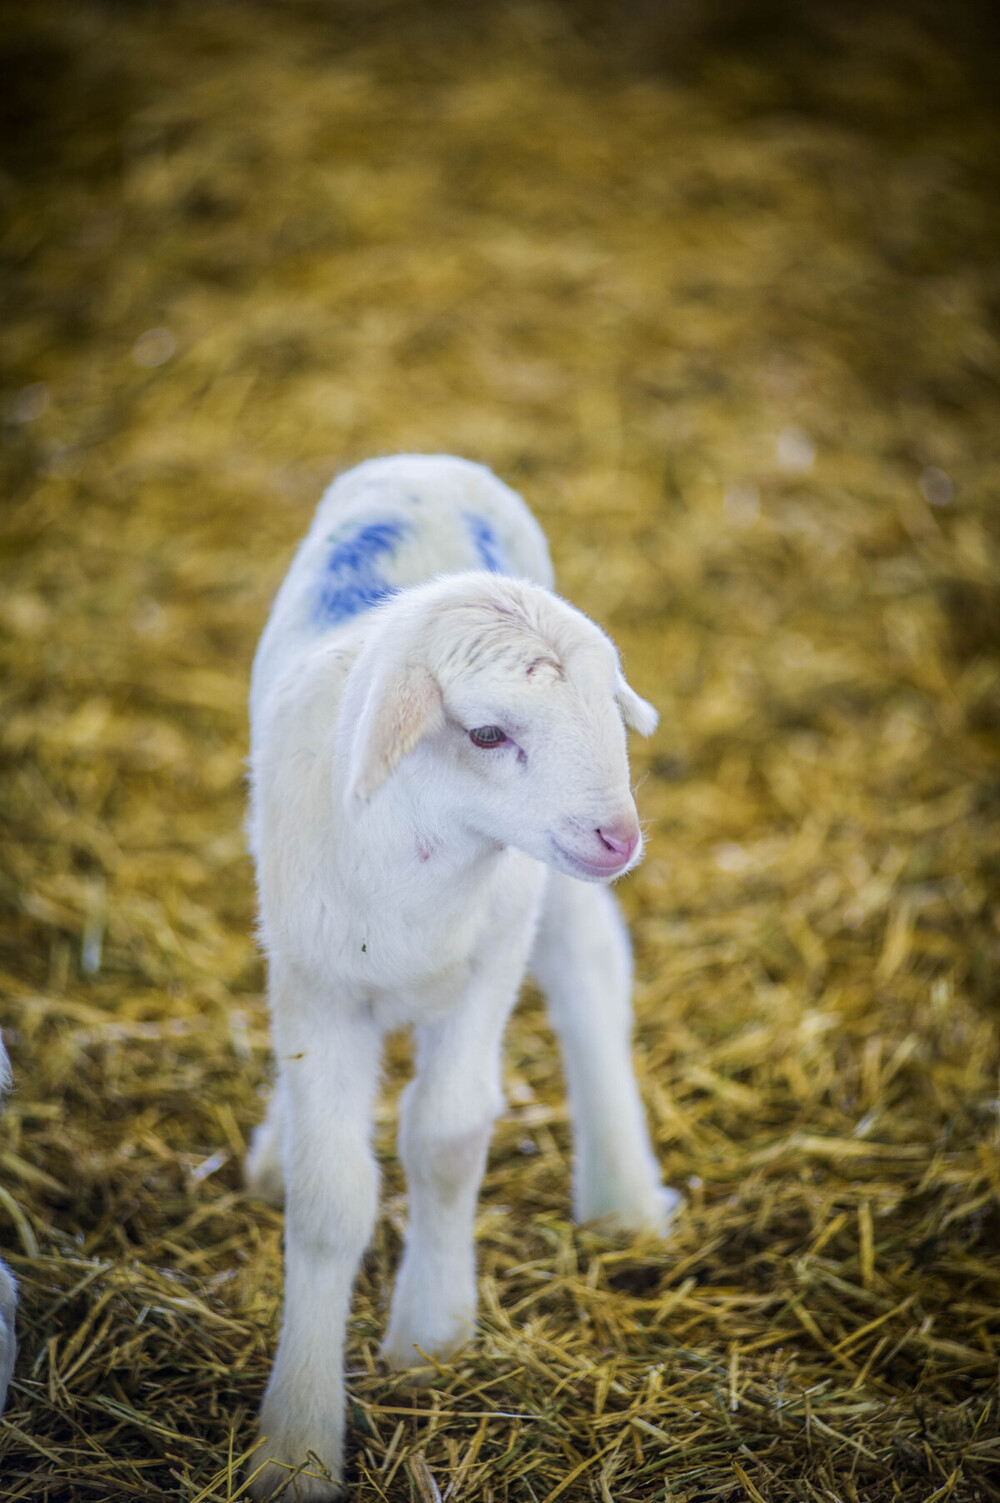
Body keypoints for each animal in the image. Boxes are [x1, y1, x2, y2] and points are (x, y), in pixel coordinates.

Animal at [245, 450, 673, 1496]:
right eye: (485, 734)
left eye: (610, 709)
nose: (620, 835)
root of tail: (426, 461)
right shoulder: (316, 984)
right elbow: (330, 1195)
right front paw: (297, 1442)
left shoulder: (487, 963)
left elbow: (445, 1136)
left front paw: (432, 1333)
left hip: (546, 888)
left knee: (590, 965)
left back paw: (623, 1193)